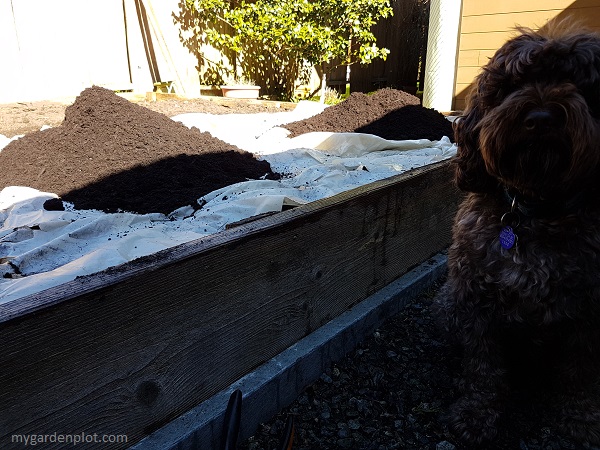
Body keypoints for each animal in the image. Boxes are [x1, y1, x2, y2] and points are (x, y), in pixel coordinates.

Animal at [434, 22, 600, 444]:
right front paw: (477, 413)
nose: (541, 118)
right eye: (513, 84)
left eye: (581, 84)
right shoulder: (476, 299)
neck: (534, 210)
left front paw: (580, 416)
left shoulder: (589, 312)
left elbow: (580, 370)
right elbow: (482, 366)